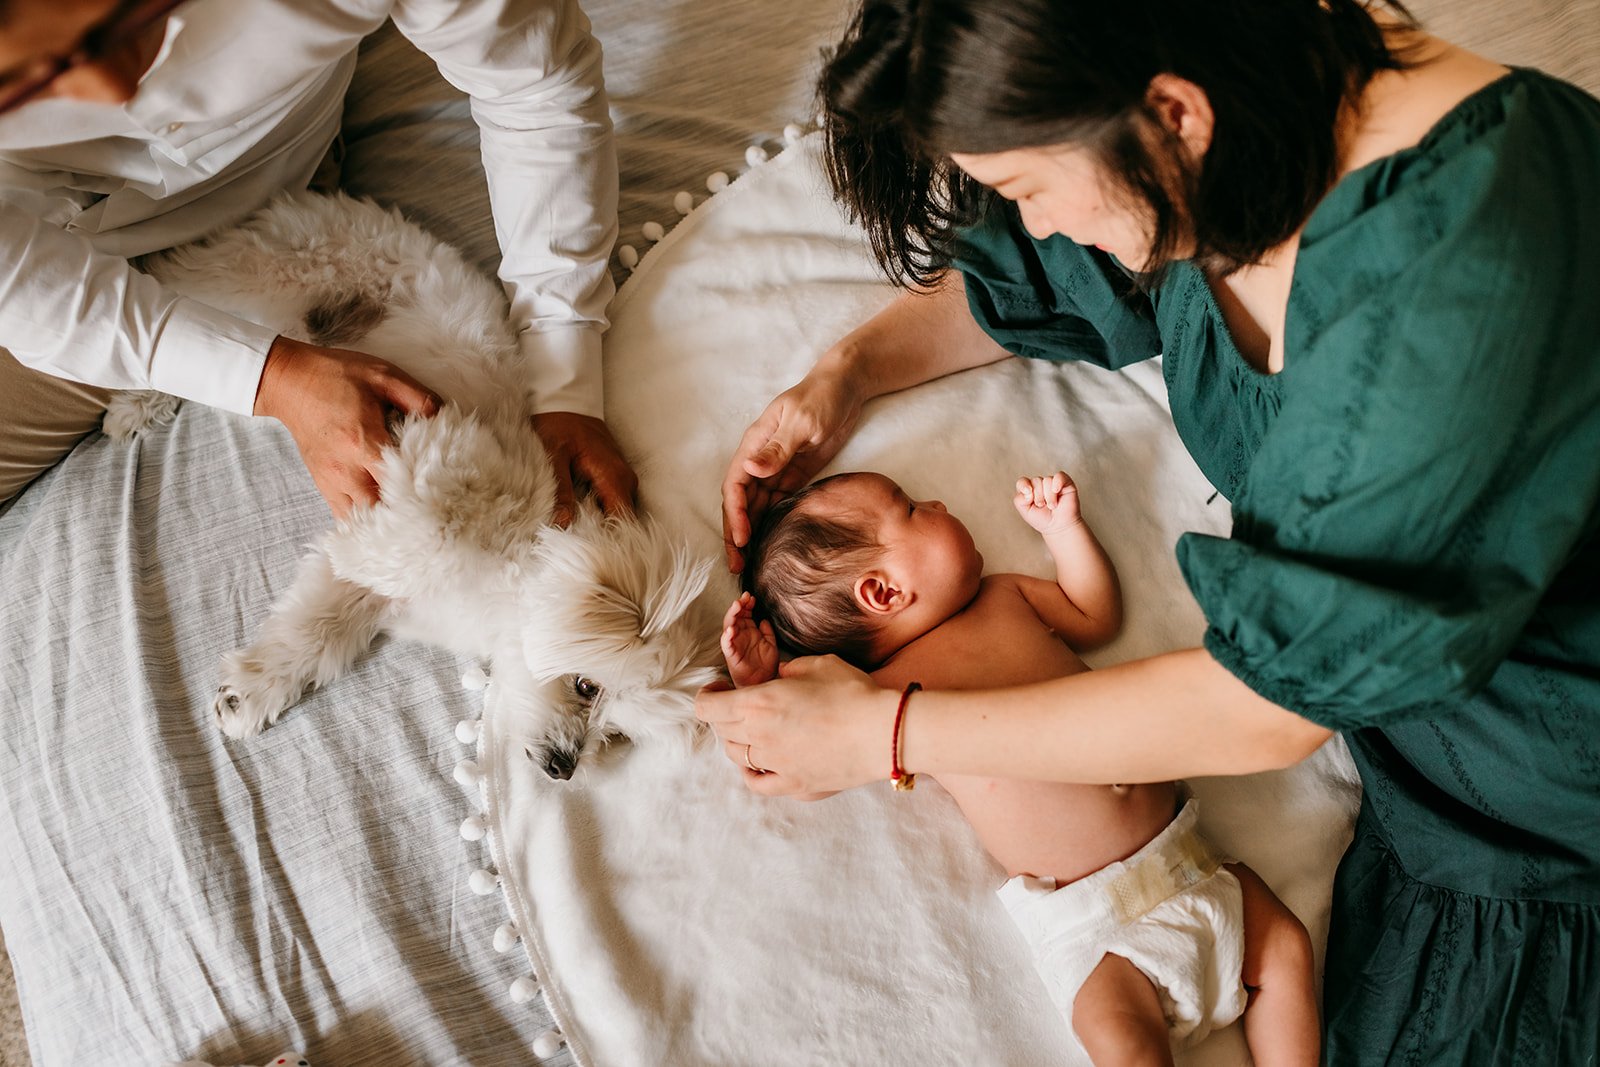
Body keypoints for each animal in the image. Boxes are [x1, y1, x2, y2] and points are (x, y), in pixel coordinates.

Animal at [116, 194, 726, 777]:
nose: (564, 767)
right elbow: (424, 533)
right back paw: (133, 385)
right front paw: (363, 543)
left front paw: (251, 689)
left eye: (616, 733)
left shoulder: (373, 591)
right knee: (175, 304)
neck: (500, 598)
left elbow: (316, 627)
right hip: (254, 276)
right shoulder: (436, 454)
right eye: (586, 686)